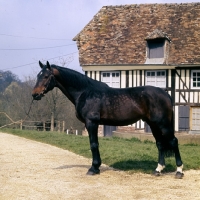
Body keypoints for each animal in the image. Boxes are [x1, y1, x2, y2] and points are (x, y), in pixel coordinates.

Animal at [32, 60, 184, 178]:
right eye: (38, 75)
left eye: (46, 76)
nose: (35, 94)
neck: (85, 92)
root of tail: (165, 94)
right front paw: (96, 167)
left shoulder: (92, 123)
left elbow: (94, 144)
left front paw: (94, 168)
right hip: (153, 124)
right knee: (160, 144)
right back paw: (158, 170)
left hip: (163, 124)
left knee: (173, 141)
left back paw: (179, 171)